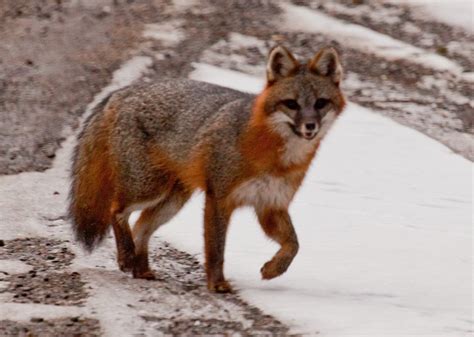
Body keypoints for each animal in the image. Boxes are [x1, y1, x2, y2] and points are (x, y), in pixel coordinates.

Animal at [69, 44, 344, 292]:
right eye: (292, 104)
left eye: (320, 103)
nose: (310, 126)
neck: (275, 157)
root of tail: (124, 91)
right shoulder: (219, 198)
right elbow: (216, 250)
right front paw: (217, 284)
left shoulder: (270, 205)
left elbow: (294, 245)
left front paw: (273, 269)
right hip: (148, 188)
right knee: (117, 210)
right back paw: (127, 257)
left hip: (172, 200)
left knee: (140, 227)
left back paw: (141, 269)